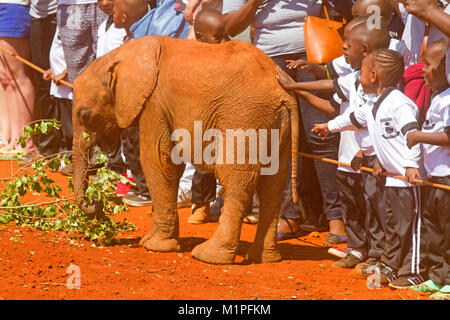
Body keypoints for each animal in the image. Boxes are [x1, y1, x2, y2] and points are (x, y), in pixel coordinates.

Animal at [72, 35, 298, 264]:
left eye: (85, 116)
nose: (96, 203)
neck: (122, 55)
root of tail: (282, 92)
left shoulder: (155, 103)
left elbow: (158, 161)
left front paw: (154, 246)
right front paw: (150, 241)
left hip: (244, 118)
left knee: (236, 181)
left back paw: (209, 256)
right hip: (276, 125)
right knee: (273, 186)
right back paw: (265, 258)